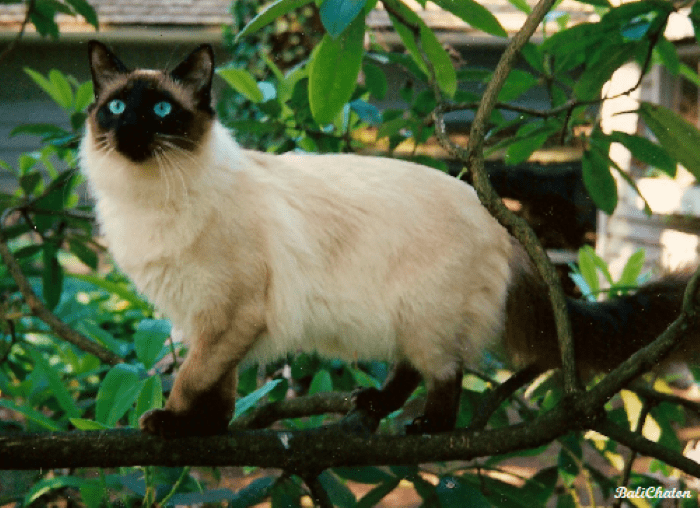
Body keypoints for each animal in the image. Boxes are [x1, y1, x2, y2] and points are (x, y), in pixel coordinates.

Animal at [80, 40, 696, 436]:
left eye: (162, 109)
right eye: (117, 107)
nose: (128, 130)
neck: (149, 198)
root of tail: (500, 225)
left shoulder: (231, 312)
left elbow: (190, 379)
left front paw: (170, 422)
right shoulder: (207, 319)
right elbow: (218, 384)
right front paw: (205, 432)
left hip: (424, 315)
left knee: (446, 374)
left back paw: (427, 426)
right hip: (405, 319)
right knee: (409, 368)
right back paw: (375, 402)